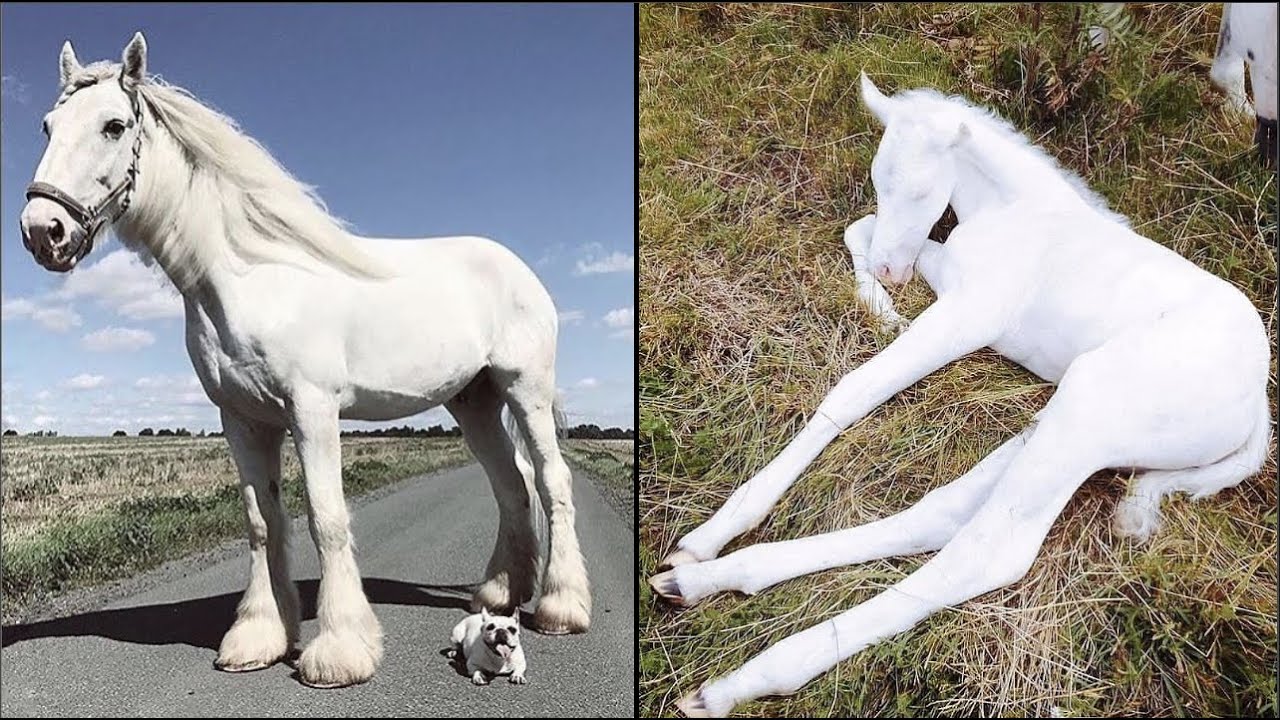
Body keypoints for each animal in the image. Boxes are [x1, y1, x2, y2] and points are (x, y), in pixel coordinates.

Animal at [18, 33, 592, 689]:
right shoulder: (243, 420)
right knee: (510, 485)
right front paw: (258, 639)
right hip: (473, 402)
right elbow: (262, 522)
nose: (42, 230)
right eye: (47, 126)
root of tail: (520, 270)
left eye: (114, 126)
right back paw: (498, 596)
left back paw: (561, 608)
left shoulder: (312, 410)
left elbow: (325, 517)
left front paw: (339, 652)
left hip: (526, 389)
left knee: (550, 480)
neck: (251, 275)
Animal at [649, 73, 1271, 717]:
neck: (1019, 212)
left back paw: (740, 679)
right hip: (1063, 420)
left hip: (1088, 414)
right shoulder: (946, 273)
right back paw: (701, 577)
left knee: (988, 552)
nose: (890, 272)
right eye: (878, 179)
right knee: (943, 514)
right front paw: (880, 306)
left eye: (924, 189)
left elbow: (855, 389)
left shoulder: (970, 313)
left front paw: (727, 520)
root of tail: (1257, 408)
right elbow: (860, 228)